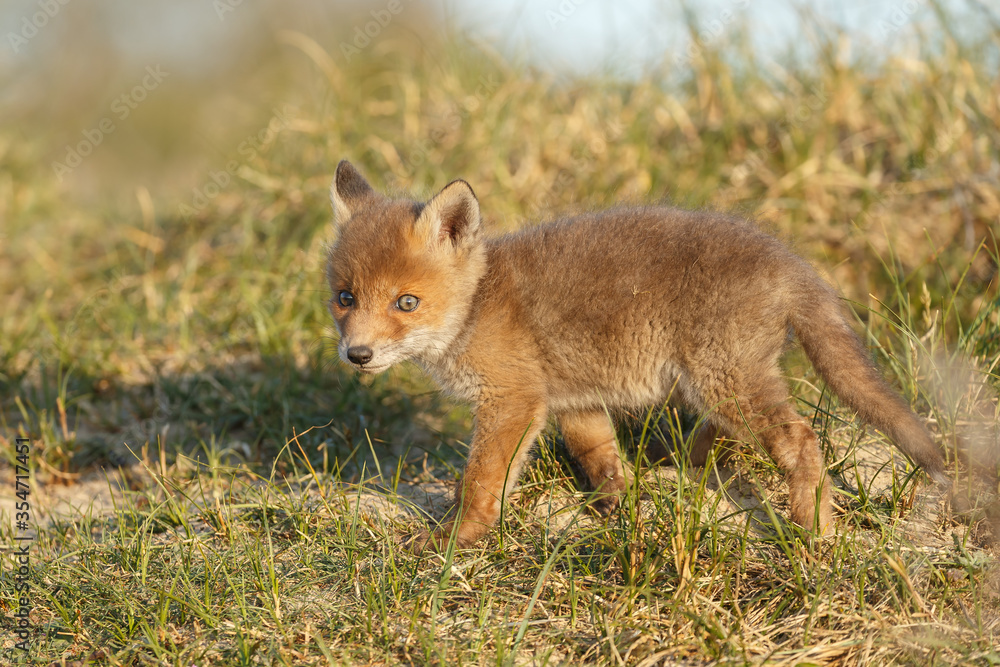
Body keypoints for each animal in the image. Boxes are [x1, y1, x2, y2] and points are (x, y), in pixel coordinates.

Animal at [325, 159, 950, 553]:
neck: (476, 305)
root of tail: (790, 261)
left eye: (406, 302)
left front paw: (454, 540)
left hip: (725, 379)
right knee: (726, 433)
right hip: (721, 382)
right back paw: (687, 469)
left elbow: (480, 483)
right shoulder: (568, 401)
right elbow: (601, 458)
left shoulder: (512, 400)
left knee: (799, 437)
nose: (357, 354)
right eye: (345, 298)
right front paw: (623, 511)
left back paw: (813, 527)